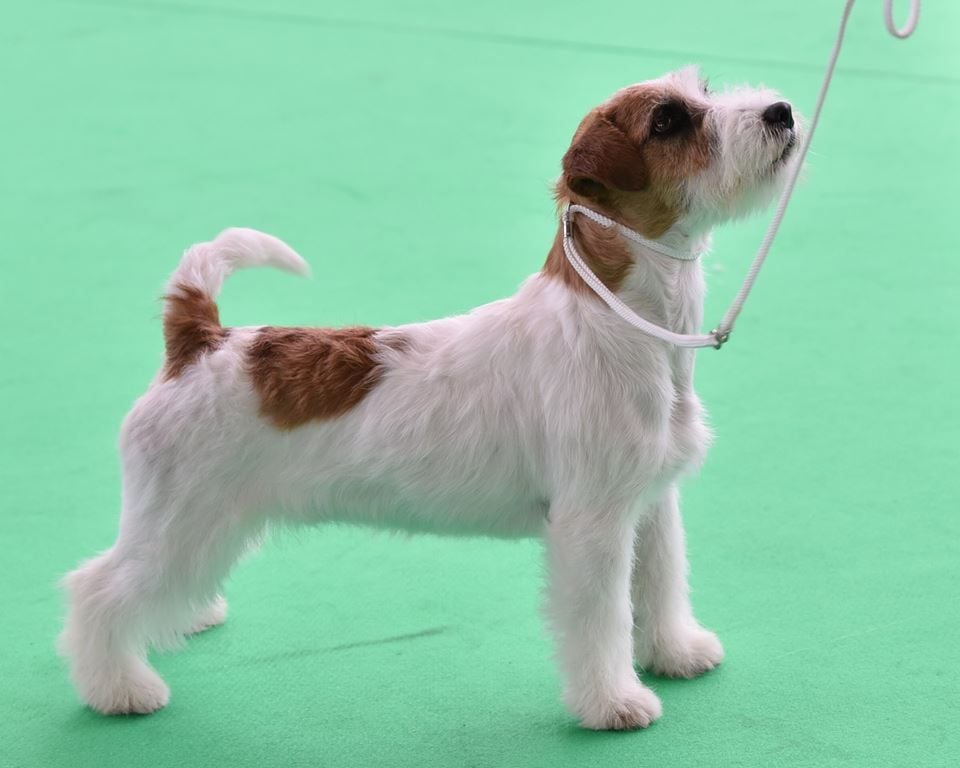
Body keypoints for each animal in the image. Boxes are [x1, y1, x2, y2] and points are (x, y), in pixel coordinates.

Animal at [60, 66, 800, 730]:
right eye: (668, 121)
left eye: (704, 91)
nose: (782, 112)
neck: (619, 322)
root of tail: (199, 339)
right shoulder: (593, 525)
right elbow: (603, 619)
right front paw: (615, 703)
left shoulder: (650, 506)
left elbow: (662, 583)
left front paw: (676, 651)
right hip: (179, 520)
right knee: (97, 591)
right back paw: (121, 688)